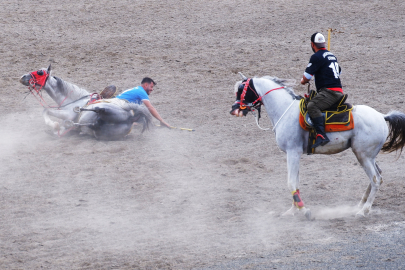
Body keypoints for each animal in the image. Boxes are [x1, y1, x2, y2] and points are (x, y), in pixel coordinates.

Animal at [19, 65, 152, 140]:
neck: (73, 99)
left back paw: (81, 110)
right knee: (95, 124)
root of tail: (132, 117)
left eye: (40, 72)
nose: (22, 77)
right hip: (101, 132)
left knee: (99, 109)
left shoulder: (67, 114)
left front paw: (54, 125)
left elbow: (45, 110)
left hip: (106, 110)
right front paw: (58, 128)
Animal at [230, 74, 404, 219]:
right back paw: (360, 205)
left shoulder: (292, 152)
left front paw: (304, 211)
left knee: (376, 179)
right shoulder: (295, 154)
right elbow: (295, 183)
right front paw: (292, 211)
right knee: (378, 175)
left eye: (241, 90)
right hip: (368, 156)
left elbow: (291, 182)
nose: (233, 109)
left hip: (363, 156)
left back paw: (364, 211)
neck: (285, 110)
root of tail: (382, 116)